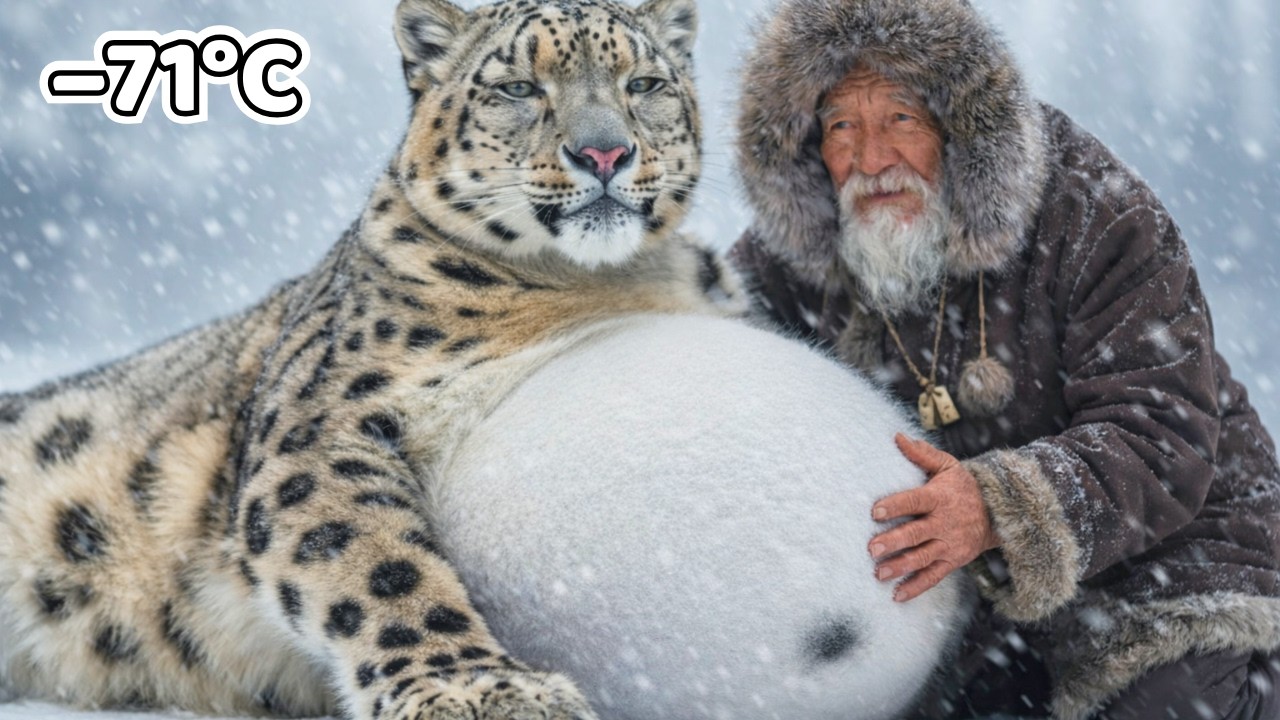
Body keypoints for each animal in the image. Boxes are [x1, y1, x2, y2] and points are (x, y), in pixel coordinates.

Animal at [0, 0, 745, 717]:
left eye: (643, 84)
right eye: (517, 87)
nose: (604, 152)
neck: (605, 282)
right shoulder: (323, 427)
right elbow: (381, 566)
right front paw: (478, 689)